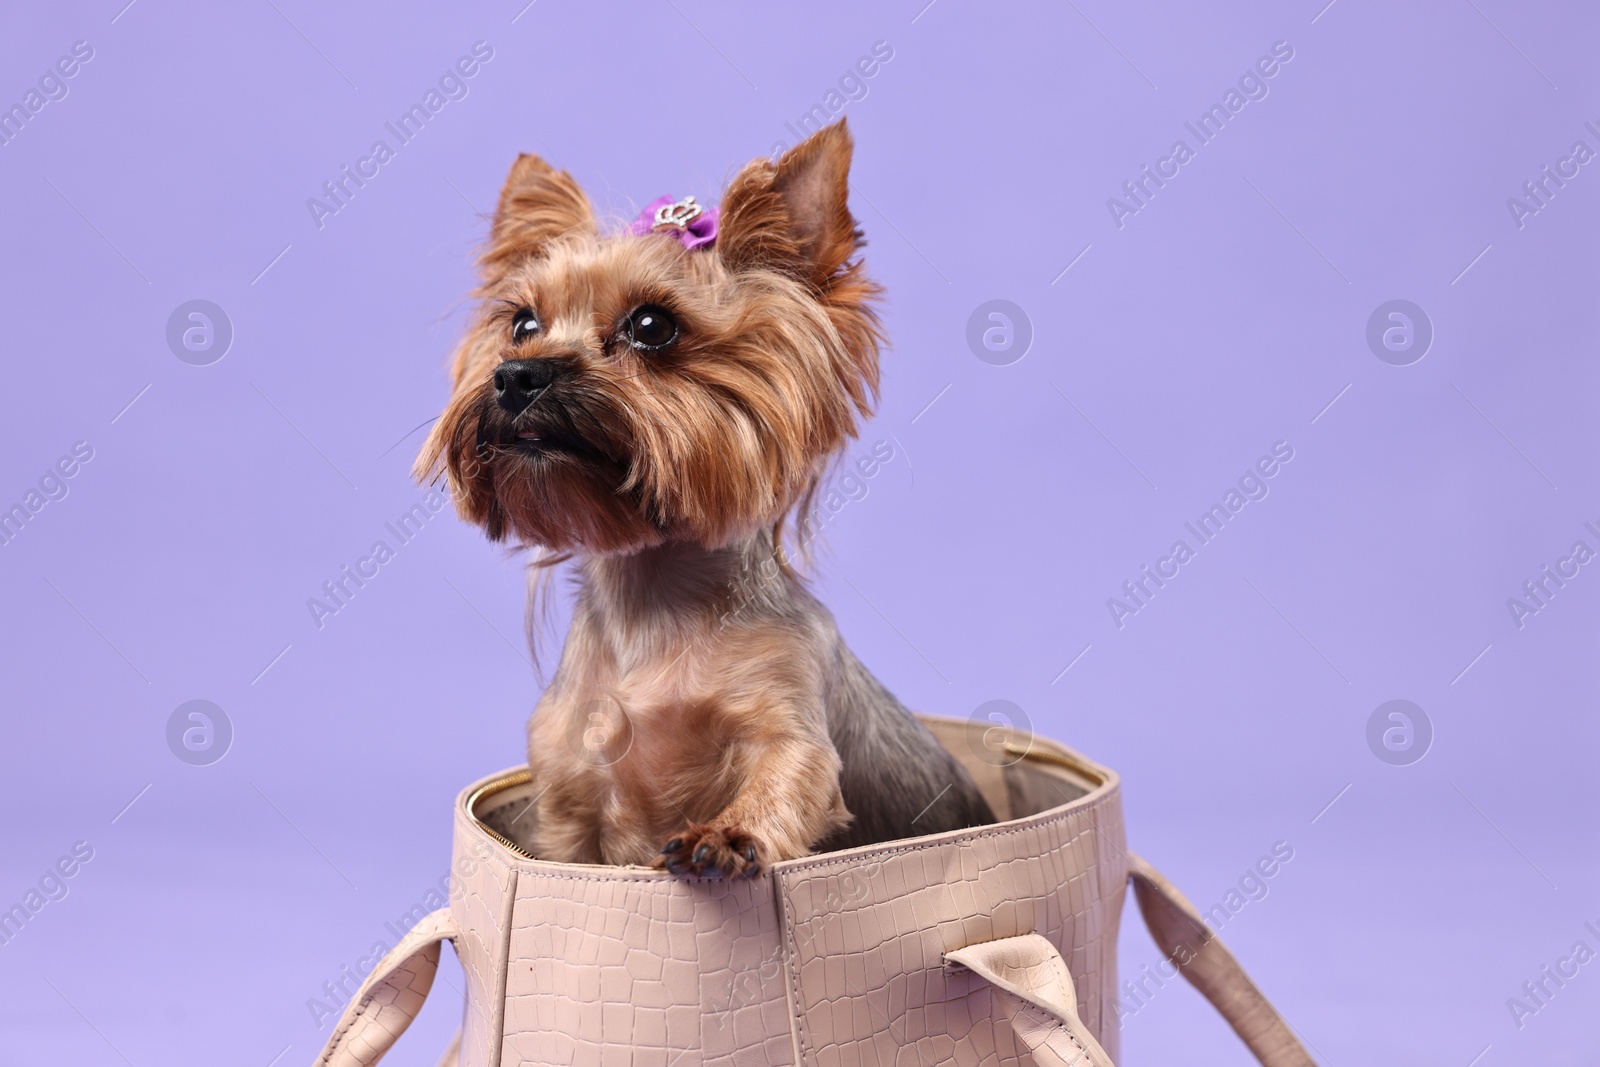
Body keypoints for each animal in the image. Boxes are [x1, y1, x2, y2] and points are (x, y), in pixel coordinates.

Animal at [425, 120, 998, 883]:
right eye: (520, 324)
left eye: (651, 326)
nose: (517, 375)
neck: (654, 596)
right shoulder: (567, 795)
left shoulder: (788, 720)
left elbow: (790, 776)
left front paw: (727, 833)